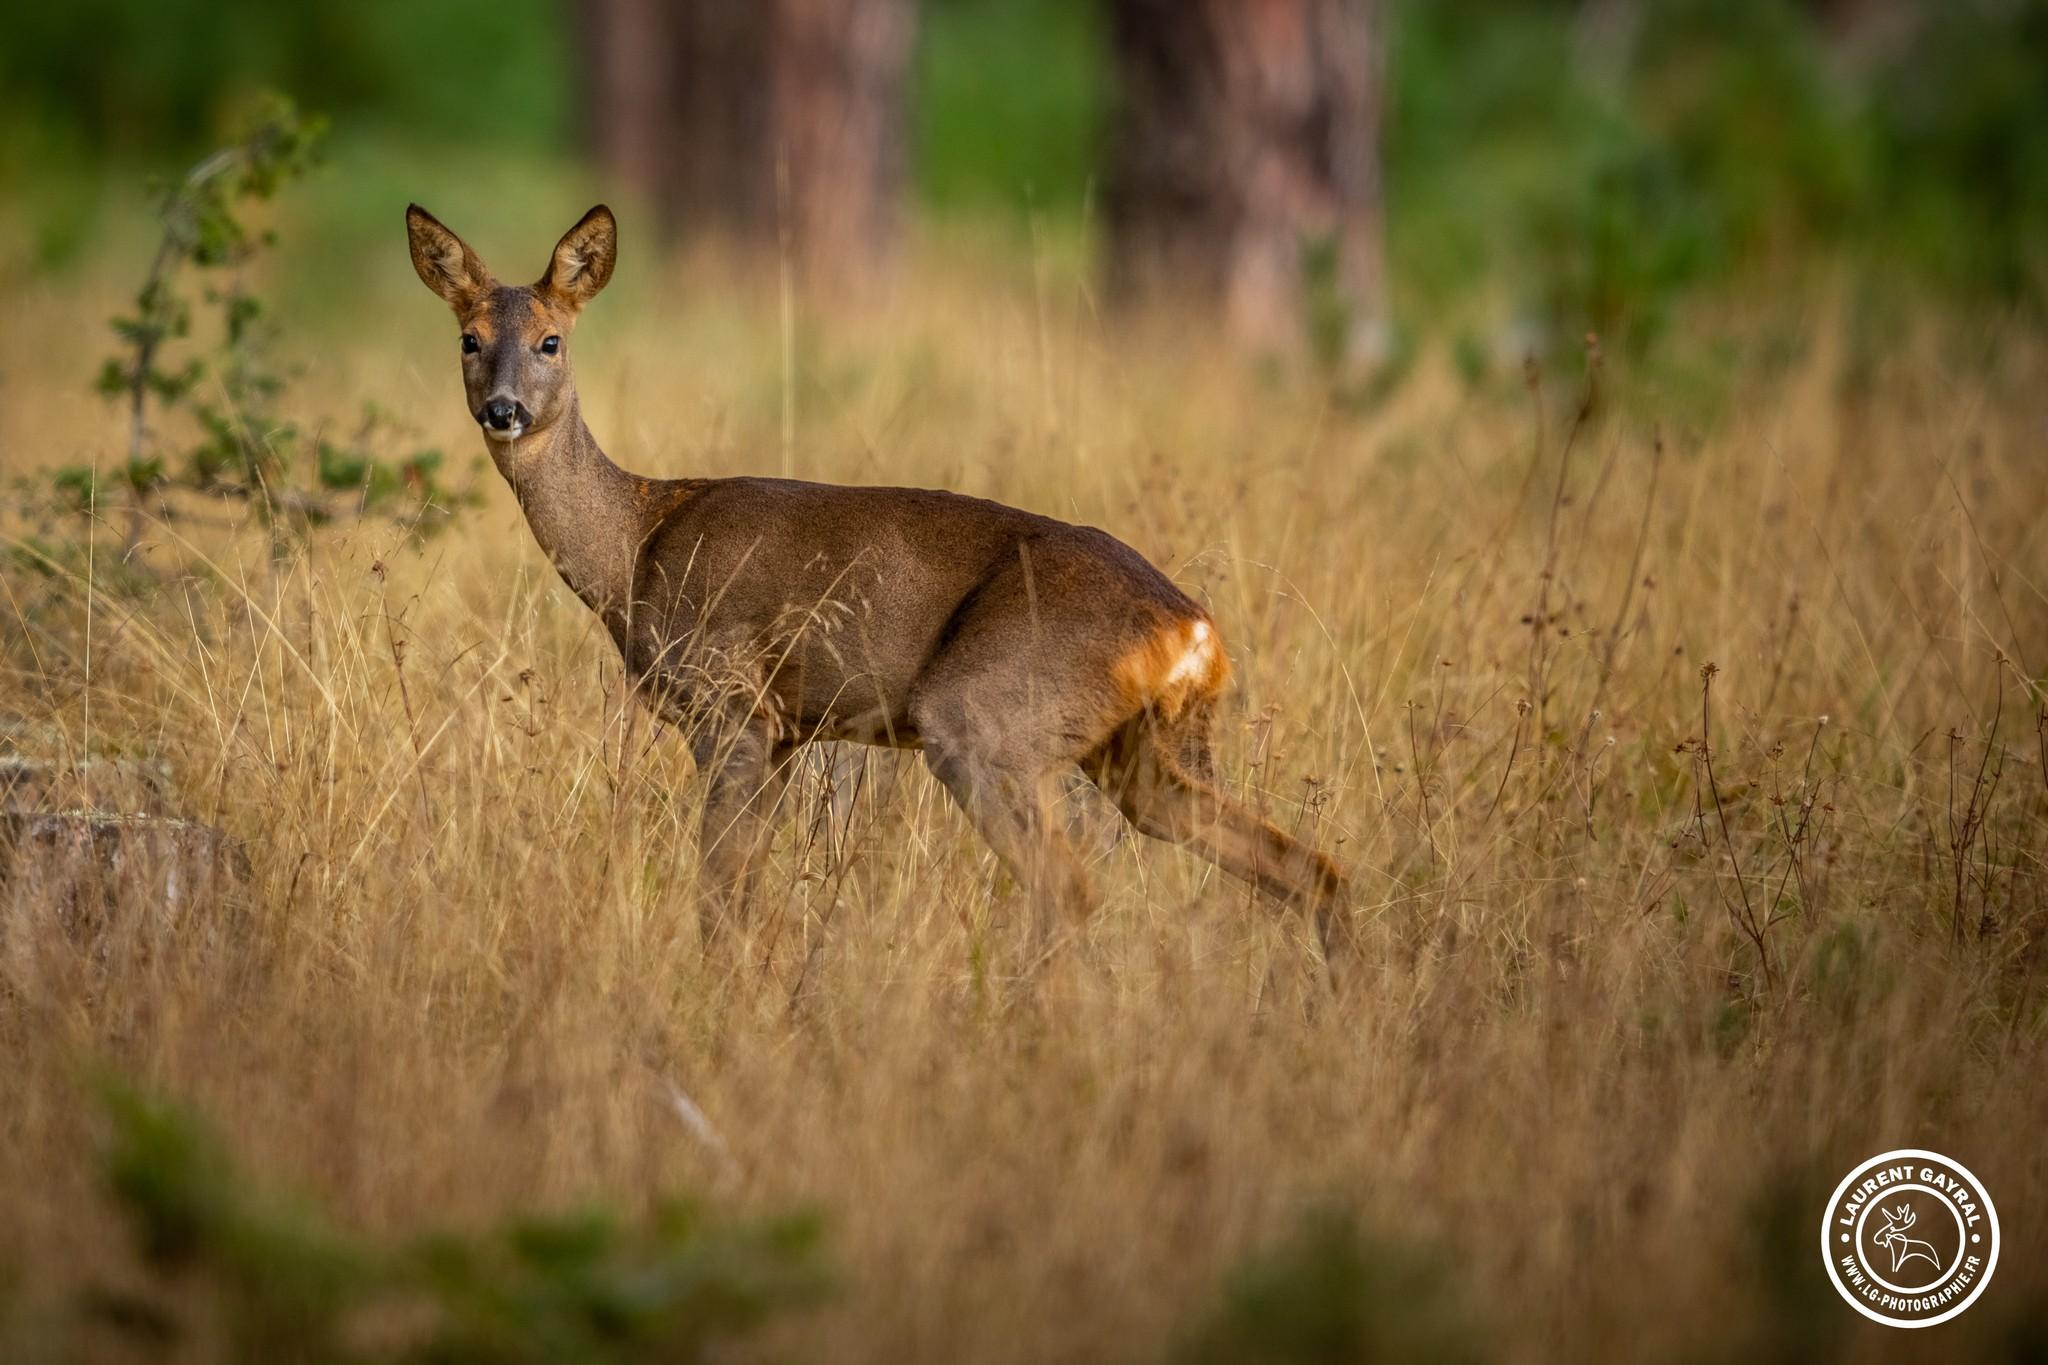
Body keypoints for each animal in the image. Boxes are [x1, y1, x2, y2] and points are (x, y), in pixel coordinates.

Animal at [405, 202, 1351, 970]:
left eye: (552, 340)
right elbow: (744, 886)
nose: (502, 410)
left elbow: (718, 889)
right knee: (1311, 865)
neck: (636, 543)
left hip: (984, 716)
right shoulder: (788, 731)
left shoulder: (734, 704)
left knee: (1072, 886)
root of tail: (1195, 636)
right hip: (1148, 753)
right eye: (467, 338)